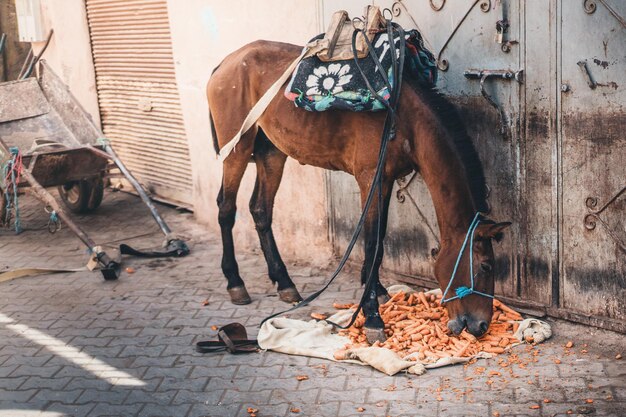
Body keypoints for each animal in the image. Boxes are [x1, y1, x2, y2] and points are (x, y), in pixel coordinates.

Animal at [207, 40, 510, 342]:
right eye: (486, 267)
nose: (481, 325)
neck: (405, 119)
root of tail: (225, 63)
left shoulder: (386, 179)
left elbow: (380, 240)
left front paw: (378, 292)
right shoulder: (369, 179)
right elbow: (372, 242)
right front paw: (372, 315)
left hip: (271, 151)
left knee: (260, 210)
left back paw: (284, 283)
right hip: (237, 149)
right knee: (226, 209)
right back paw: (235, 282)